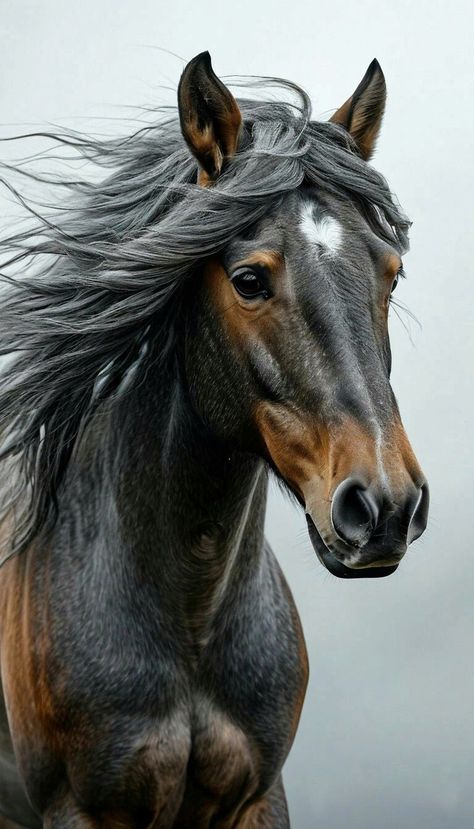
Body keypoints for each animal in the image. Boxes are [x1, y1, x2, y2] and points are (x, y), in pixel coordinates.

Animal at [0, 53, 430, 828]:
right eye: (249, 279)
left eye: (391, 272)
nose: (385, 507)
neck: (190, 619)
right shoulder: (77, 808)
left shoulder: (256, 797)